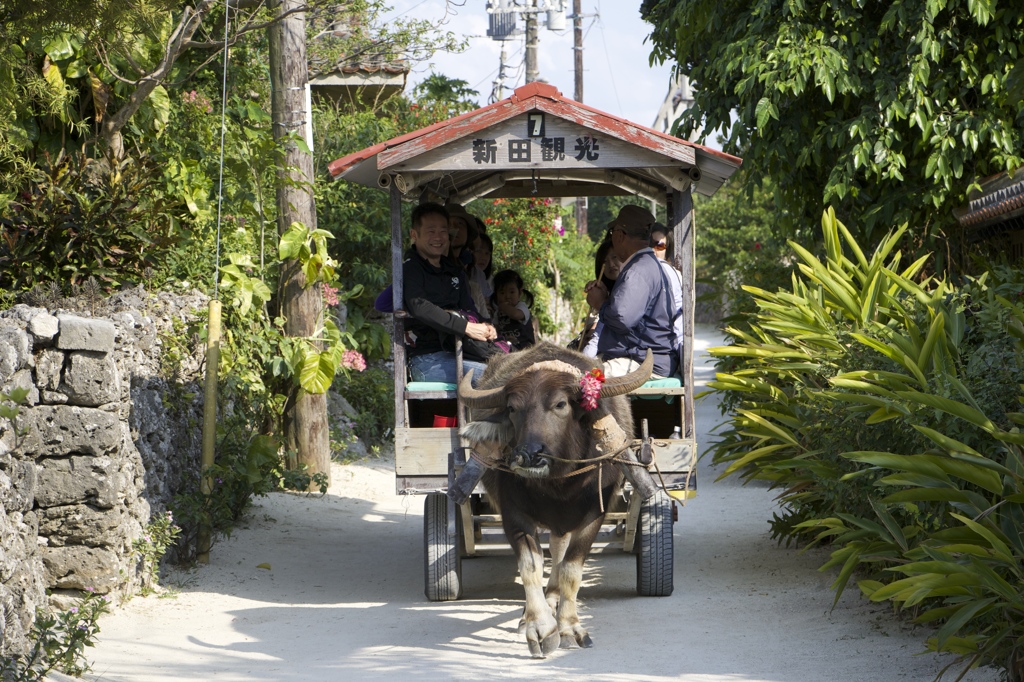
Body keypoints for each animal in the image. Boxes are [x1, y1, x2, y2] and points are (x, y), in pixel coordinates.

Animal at [460, 342, 651, 655]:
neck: (559, 484)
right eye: (512, 408)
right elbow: (530, 566)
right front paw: (539, 626)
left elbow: (571, 569)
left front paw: (569, 627)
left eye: (560, 404)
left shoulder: (594, 515)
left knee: (559, 549)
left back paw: (553, 596)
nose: (527, 455)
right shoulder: (513, 513)